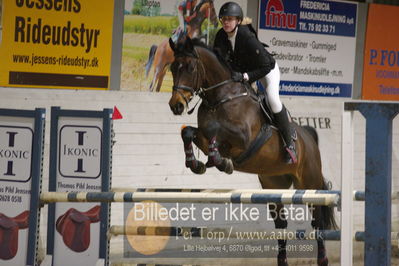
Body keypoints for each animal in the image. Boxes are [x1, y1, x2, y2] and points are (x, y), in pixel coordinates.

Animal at [169, 35, 338, 266]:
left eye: (190, 67)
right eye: (171, 68)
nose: (175, 105)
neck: (219, 98)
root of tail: (309, 139)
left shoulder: (244, 138)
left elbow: (215, 132)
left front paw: (222, 162)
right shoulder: (203, 134)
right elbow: (188, 132)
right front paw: (197, 164)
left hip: (309, 183)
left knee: (318, 221)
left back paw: (322, 258)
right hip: (273, 185)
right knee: (281, 226)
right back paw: (282, 260)